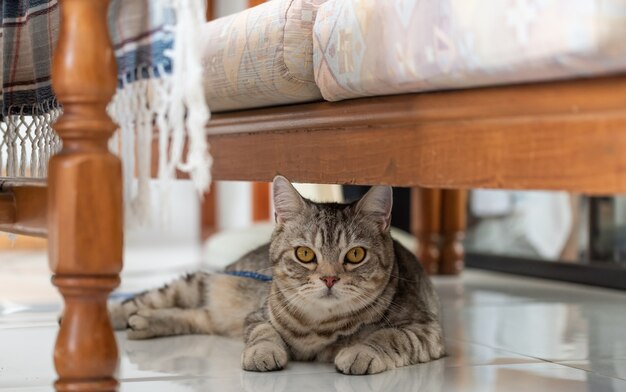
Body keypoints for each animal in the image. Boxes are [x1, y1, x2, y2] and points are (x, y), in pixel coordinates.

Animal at [112, 176, 444, 376]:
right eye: (305, 254)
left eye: (355, 255)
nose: (329, 279)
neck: (319, 323)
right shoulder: (257, 315)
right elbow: (264, 332)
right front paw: (263, 352)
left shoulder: (425, 329)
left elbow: (388, 335)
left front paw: (361, 351)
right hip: (201, 283)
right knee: (151, 300)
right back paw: (120, 316)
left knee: (196, 317)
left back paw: (143, 322)